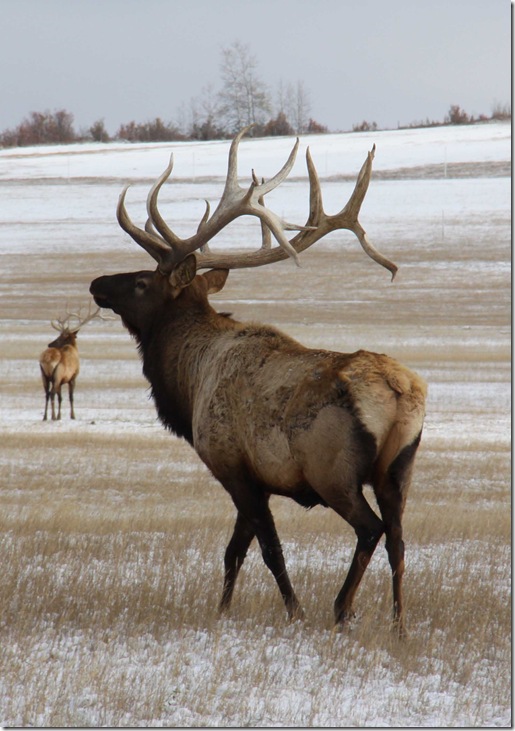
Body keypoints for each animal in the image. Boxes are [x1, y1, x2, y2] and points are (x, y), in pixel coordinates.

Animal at [90, 127, 427, 635]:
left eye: (142, 282)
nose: (96, 284)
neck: (188, 383)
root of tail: (399, 392)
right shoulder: (256, 478)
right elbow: (235, 551)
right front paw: (222, 609)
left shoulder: (231, 464)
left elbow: (267, 549)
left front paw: (293, 610)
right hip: (399, 468)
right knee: (400, 541)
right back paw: (399, 624)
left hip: (333, 470)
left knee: (371, 529)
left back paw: (341, 609)